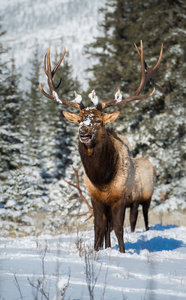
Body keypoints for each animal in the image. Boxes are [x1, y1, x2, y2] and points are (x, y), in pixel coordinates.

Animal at [39, 39, 163, 251]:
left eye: (98, 121)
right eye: (79, 121)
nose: (83, 133)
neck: (102, 179)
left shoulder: (120, 197)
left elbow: (120, 227)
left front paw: (121, 252)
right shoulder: (95, 197)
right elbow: (98, 227)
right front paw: (97, 251)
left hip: (145, 196)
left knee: (135, 218)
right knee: (106, 226)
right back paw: (106, 246)